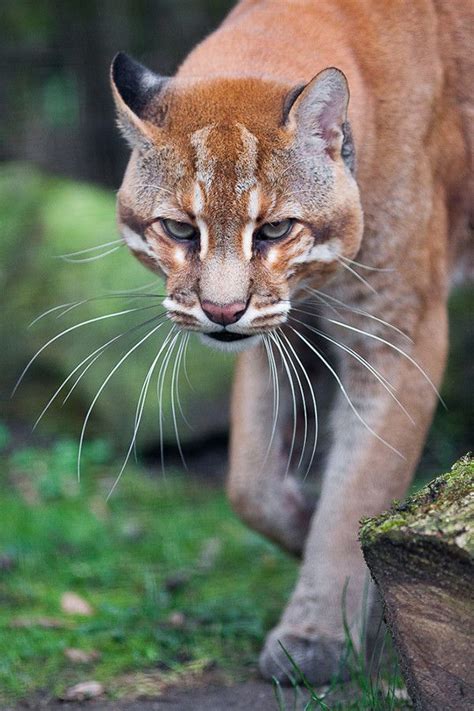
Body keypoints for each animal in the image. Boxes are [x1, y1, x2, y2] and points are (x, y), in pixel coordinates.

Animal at [110, 0, 470, 684]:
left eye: (275, 230)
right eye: (179, 229)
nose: (222, 310)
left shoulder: (396, 330)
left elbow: (357, 487)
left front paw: (318, 633)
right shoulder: (278, 325)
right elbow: (249, 481)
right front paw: (306, 534)